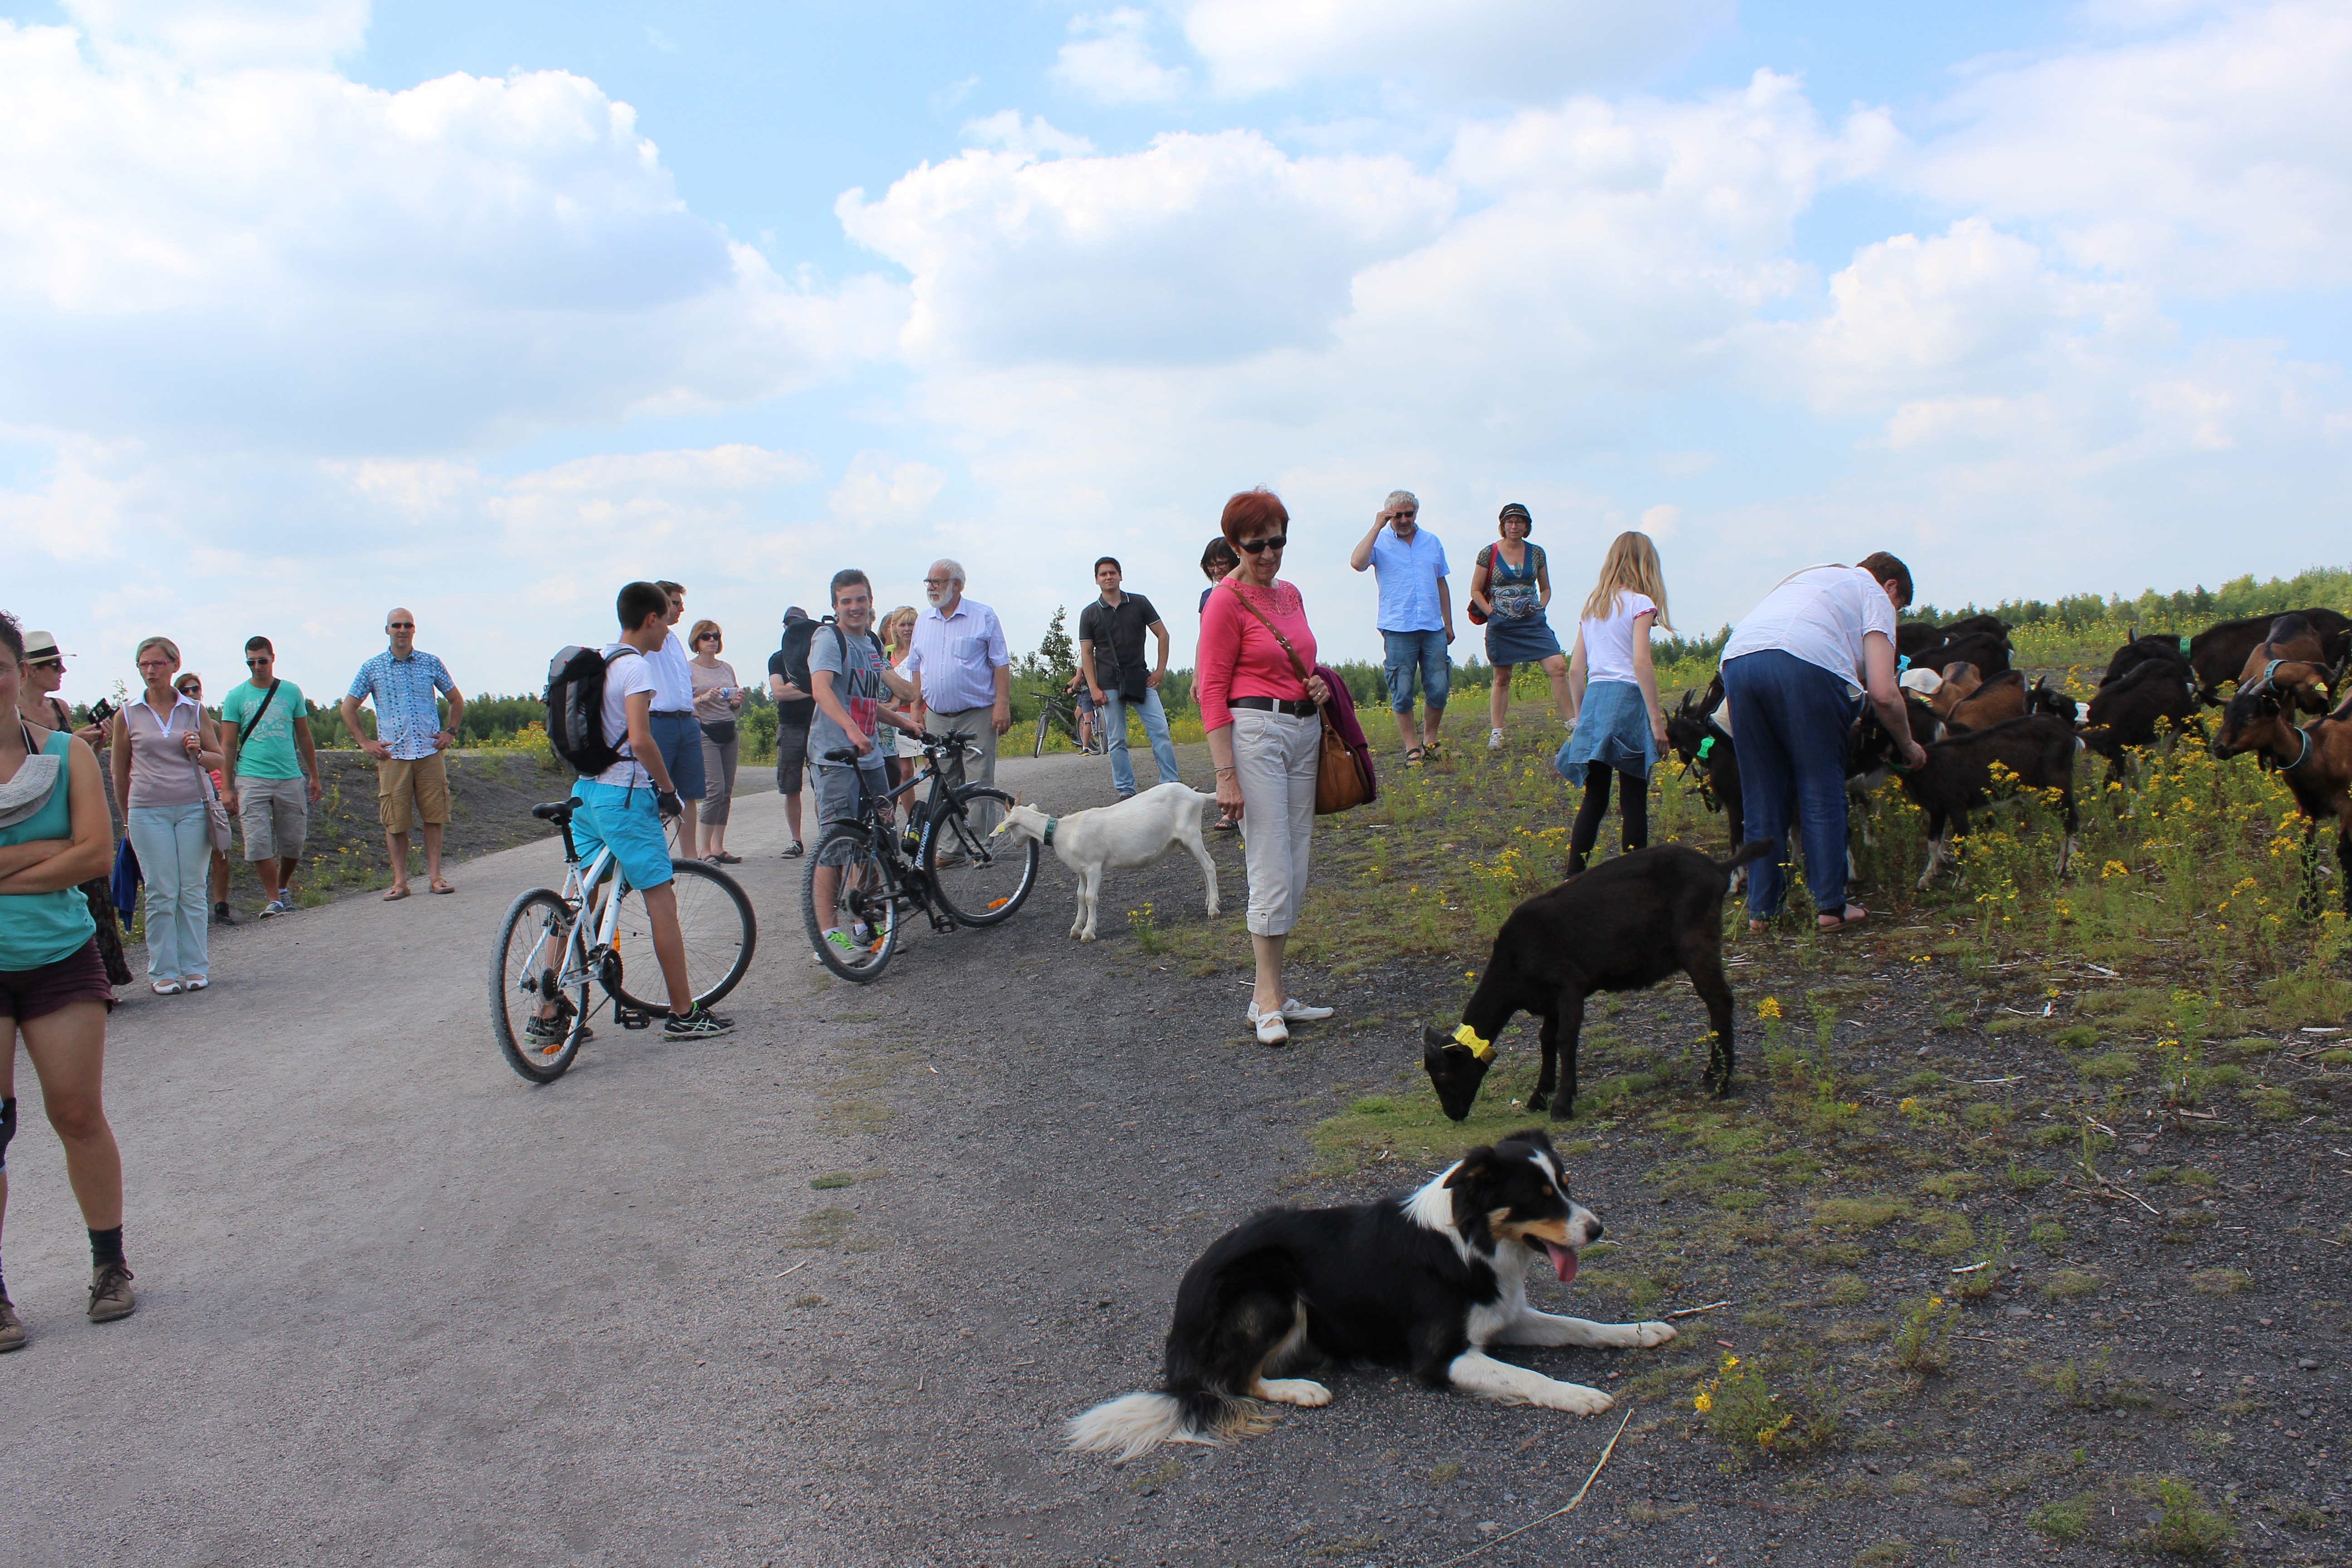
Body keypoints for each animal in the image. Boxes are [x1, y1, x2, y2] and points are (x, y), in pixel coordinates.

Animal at [990, 782, 1219, 941]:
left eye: (1008, 826)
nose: (1014, 843)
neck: (1065, 831)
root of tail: (1197, 795)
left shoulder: (1094, 866)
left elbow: (1091, 897)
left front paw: (1088, 932)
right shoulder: (1081, 870)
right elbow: (1080, 896)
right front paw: (1076, 928)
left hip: (1191, 835)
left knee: (1209, 866)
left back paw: (1213, 910)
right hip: (1182, 842)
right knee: (1204, 866)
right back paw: (1210, 901)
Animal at [1066, 1128, 1673, 1461]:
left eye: (1566, 1186)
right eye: (1538, 1198)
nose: (1597, 1229)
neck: (1468, 1242)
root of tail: (1182, 1322)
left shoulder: (1505, 1315)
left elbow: (1583, 1328)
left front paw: (1643, 1331)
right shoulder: (1439, 1356)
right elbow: (1528, 1377)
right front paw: (1579, 1395)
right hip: (1272, 1288)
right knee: (1235, 1380)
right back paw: (1302, 1389)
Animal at [1423, 841, 1772, 1122]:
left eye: (1442, 1073)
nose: (1453, 1115)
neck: (1515, 963)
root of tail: (1718, 868)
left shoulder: (1570, 987)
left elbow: (1565, 1040)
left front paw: (1562, 1106)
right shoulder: (1549, 1000)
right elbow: (1546, 1040)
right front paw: (1540, 1096)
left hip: (1697, 941)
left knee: (1720, 1000)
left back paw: (1722, 1083)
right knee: (1716, 1004)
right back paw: (1711, 1074)